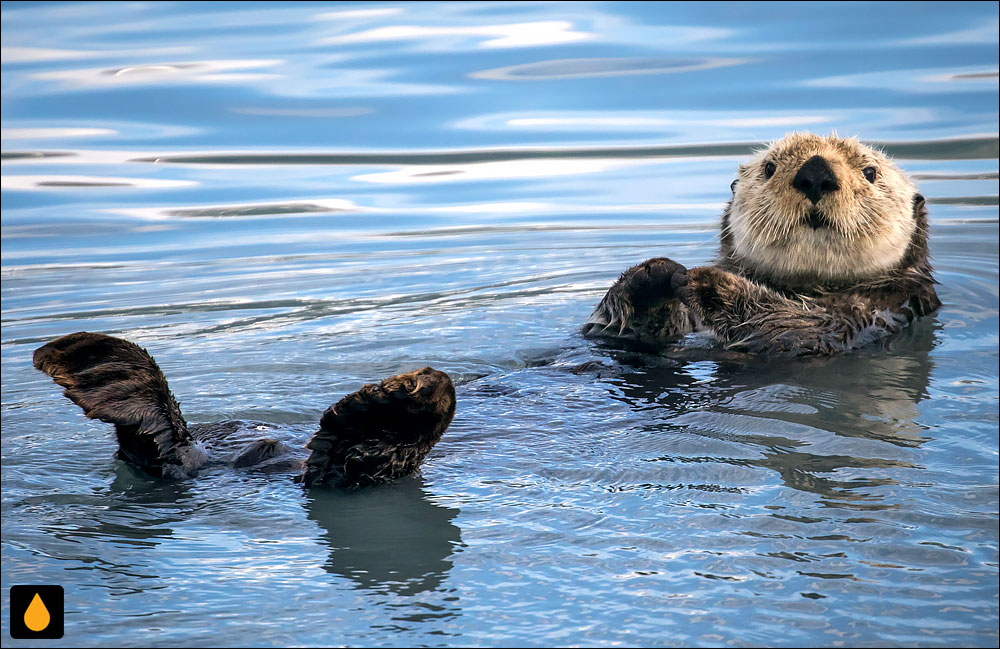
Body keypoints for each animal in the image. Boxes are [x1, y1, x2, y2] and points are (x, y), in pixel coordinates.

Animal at [584, 132, 940, 354]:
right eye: (770, 167)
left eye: (870, 172)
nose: (815, 173)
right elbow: (609, 331)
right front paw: (653, 274)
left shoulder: (874, 312)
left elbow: (795, 330)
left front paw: (707, 282)